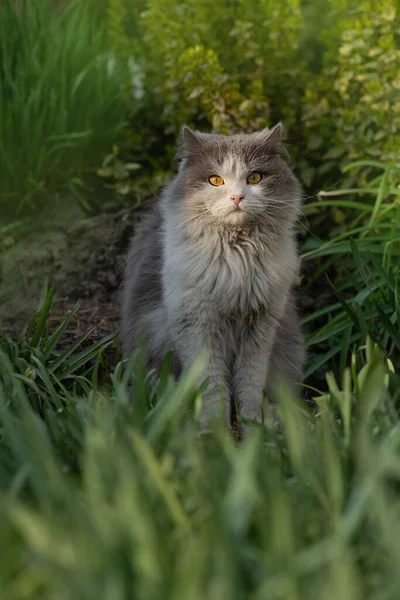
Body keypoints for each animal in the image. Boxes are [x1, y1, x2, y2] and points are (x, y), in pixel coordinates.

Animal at [120, 124, 304, 426]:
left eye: (254, 177)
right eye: (215, 180)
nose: (237, 198)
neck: (237, 255)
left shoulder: (260, 328)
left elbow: (249, 385)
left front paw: (253, 425)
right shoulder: (197, 325)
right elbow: (212, 387)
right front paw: (215, 429)